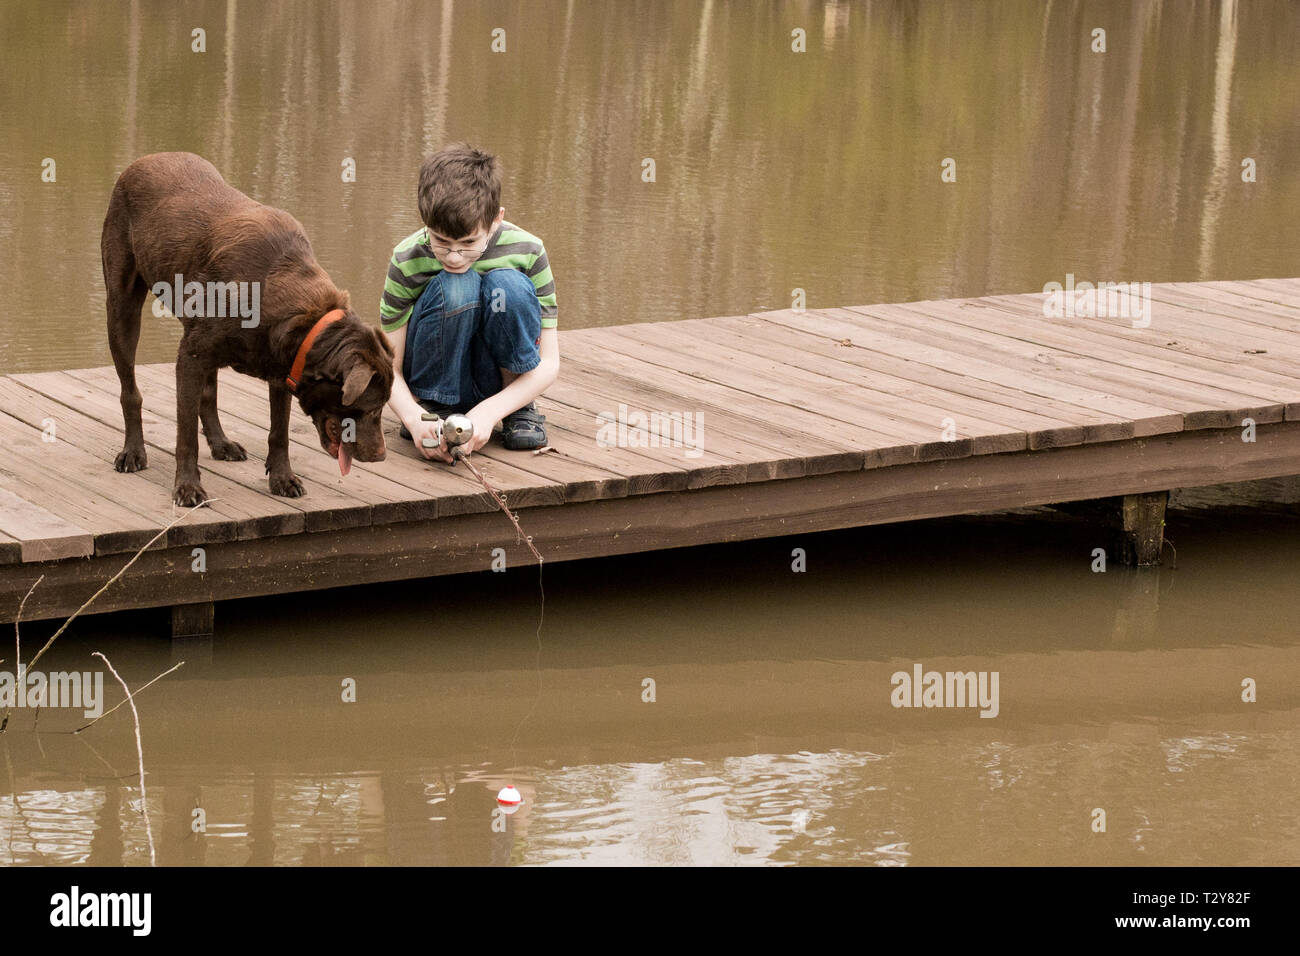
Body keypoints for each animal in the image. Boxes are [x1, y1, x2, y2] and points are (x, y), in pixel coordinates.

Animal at [102, 151, 390, 509]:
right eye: (371, 408)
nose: (380, 457)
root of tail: (143, 159)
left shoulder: (282, 367)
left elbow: (279, 432)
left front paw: (282, 478)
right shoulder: (191, 357)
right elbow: (186, 435)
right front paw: (187, 486)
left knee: (209, 395)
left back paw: (221, 443)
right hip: (122, 309)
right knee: (131, 391)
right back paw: (133, 451)